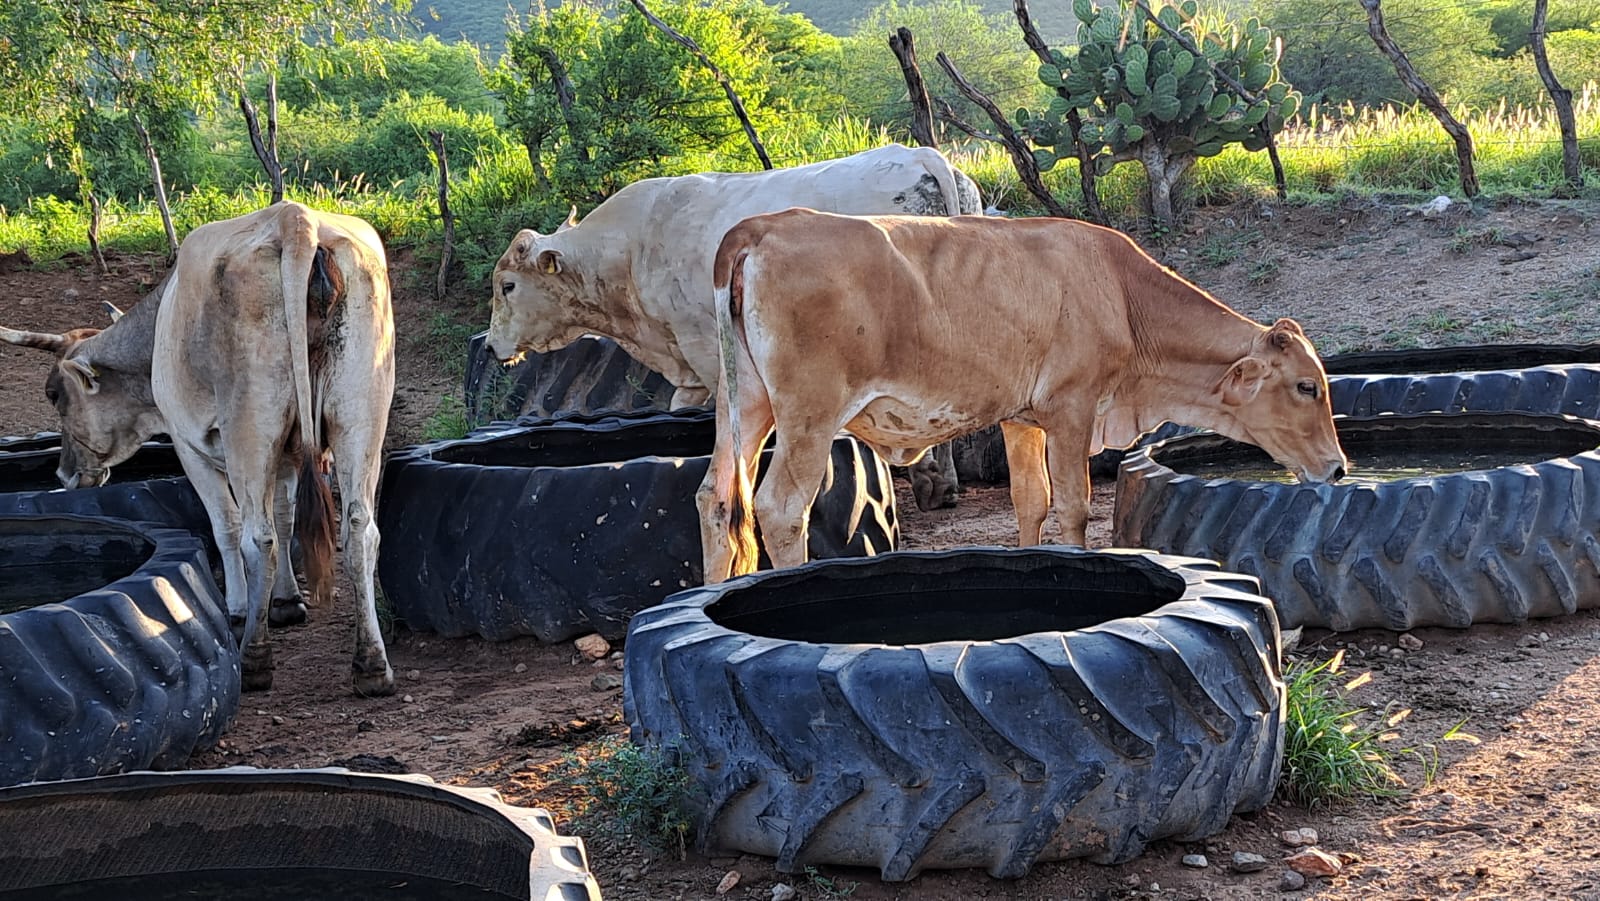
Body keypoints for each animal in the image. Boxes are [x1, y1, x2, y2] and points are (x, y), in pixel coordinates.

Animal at [0, 202, 396, 696]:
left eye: (54, 394)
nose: (64, 474)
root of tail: (294, 219)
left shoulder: (189, 447)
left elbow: (227, 527)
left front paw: (241, 608)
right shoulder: (287, 454)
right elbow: (286, 518)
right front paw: (286, 601)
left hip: (250, 425)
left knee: (257, 536)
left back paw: (255, 660)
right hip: (361, 419)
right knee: (360, 531)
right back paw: (372, 665)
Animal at [484, 143, 981, 511]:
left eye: (508, 285)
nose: (490, 346)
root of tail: (920, 154)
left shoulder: (702, 344)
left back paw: (930, 480)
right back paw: (941, 485)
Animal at [697, 210, 1350, 582]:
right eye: (1307, 385)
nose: (1340, 468)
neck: (1124, 296)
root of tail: (759, 226)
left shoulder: (1021, 419)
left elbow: (1031, 503)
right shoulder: (1071, 410)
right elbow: (1075, 507)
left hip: (744, 404)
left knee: (717, 501)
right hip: (809, 414)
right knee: (780, 508)